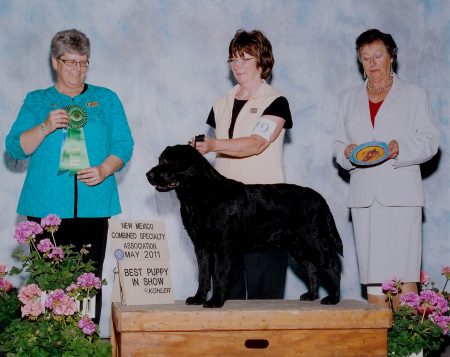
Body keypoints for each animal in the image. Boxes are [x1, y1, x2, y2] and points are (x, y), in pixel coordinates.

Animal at [146, 144, 342, 306]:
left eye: (168, 162)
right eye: (160, 160)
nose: (148, 175)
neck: (201, 195)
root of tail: (319, 198)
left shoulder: (222, 246)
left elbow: (219, 275)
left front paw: (215, 301)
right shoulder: (201, 246)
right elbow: (203, 275)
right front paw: (198, 298)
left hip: (314, 241)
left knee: (332, 267)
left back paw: (332, 299)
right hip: (298, 247)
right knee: (312, 269)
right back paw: (311, 295)